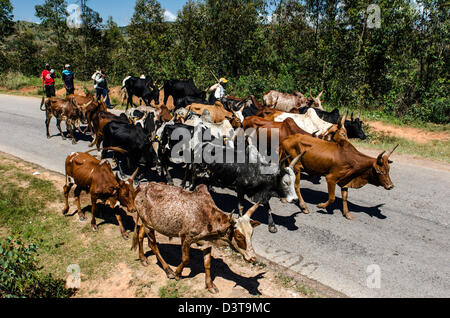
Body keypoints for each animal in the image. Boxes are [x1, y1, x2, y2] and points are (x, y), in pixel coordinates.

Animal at [132, 183, 260, 294]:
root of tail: (141, 186)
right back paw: (168, 271)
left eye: (252, 233)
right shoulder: (186, 238)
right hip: (148, 225)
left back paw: (143, 258)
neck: (207, 216)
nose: (253, 258)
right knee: (153, 245)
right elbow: (185, 259)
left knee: (140, 235)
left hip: (147, 223)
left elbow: (207, 264)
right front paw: (177, 274)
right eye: (239, 235)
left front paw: (210, 286)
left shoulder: (207, 243)